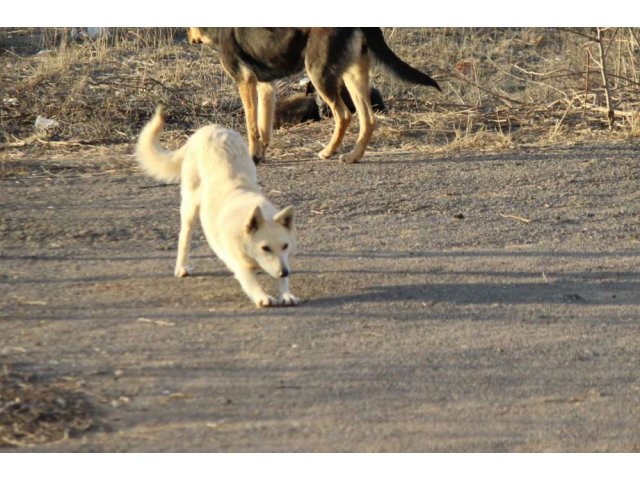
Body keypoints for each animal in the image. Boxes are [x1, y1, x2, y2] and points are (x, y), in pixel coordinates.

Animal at [136, 107, 300, 308]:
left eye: (285, 246)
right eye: (265, 248)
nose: (285, 272)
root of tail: (208, 128)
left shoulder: (282, 260)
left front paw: (286, 294)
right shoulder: (237, 262)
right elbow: (250, 280)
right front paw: (262, 296)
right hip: (190, 206)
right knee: (184, 236)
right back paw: (181, 267)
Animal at [188, 29, 442, 166]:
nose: (190, 36)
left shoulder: (244, 81)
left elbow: (251, 127)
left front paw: (252, 156)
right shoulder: (266, 85)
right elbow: (263, 127)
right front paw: (260, 155)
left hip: (318, 72)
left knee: (344, 115)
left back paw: (328, 151)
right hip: (354, 73)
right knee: (368, 119)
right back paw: (353, 156)